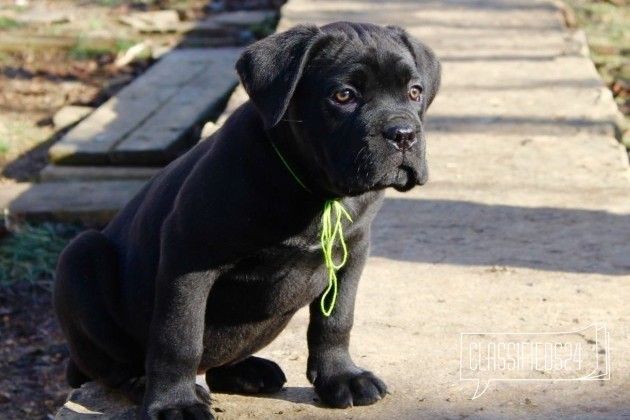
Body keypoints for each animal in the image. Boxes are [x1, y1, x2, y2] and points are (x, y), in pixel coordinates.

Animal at [54, 22, 442, 420]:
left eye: (414, 92)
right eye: (344, 95)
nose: (404, 134)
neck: (317, 191)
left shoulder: (352, 250)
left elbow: (336, 320)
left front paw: (341, 377)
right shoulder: (188, 256)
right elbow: (178, 339)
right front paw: (175, 403)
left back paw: (248, 372)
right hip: (79, 255)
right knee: (114, 366)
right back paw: (146, 384)